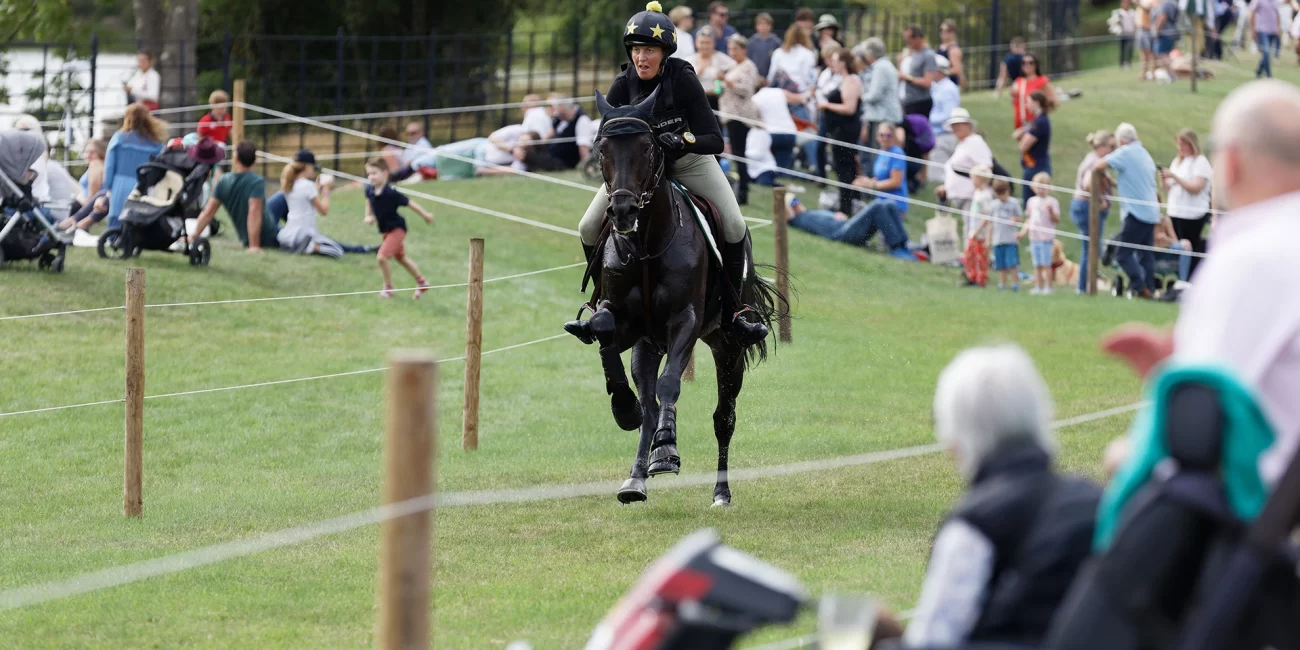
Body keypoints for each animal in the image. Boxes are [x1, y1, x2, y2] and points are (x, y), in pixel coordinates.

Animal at [572, 89, 780, 506]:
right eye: (602, 148)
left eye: (648, 148)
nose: (622, 211)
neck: (647, 246)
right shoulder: (625, 323)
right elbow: (603, 329)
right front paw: (624, 408)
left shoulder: (686, 320)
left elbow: (671, 384)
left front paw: (667, 446)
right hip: (649, 345)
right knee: (651, 406)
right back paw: (636, 478)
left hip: (727, 346)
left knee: (723, 417)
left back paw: (718, 491)